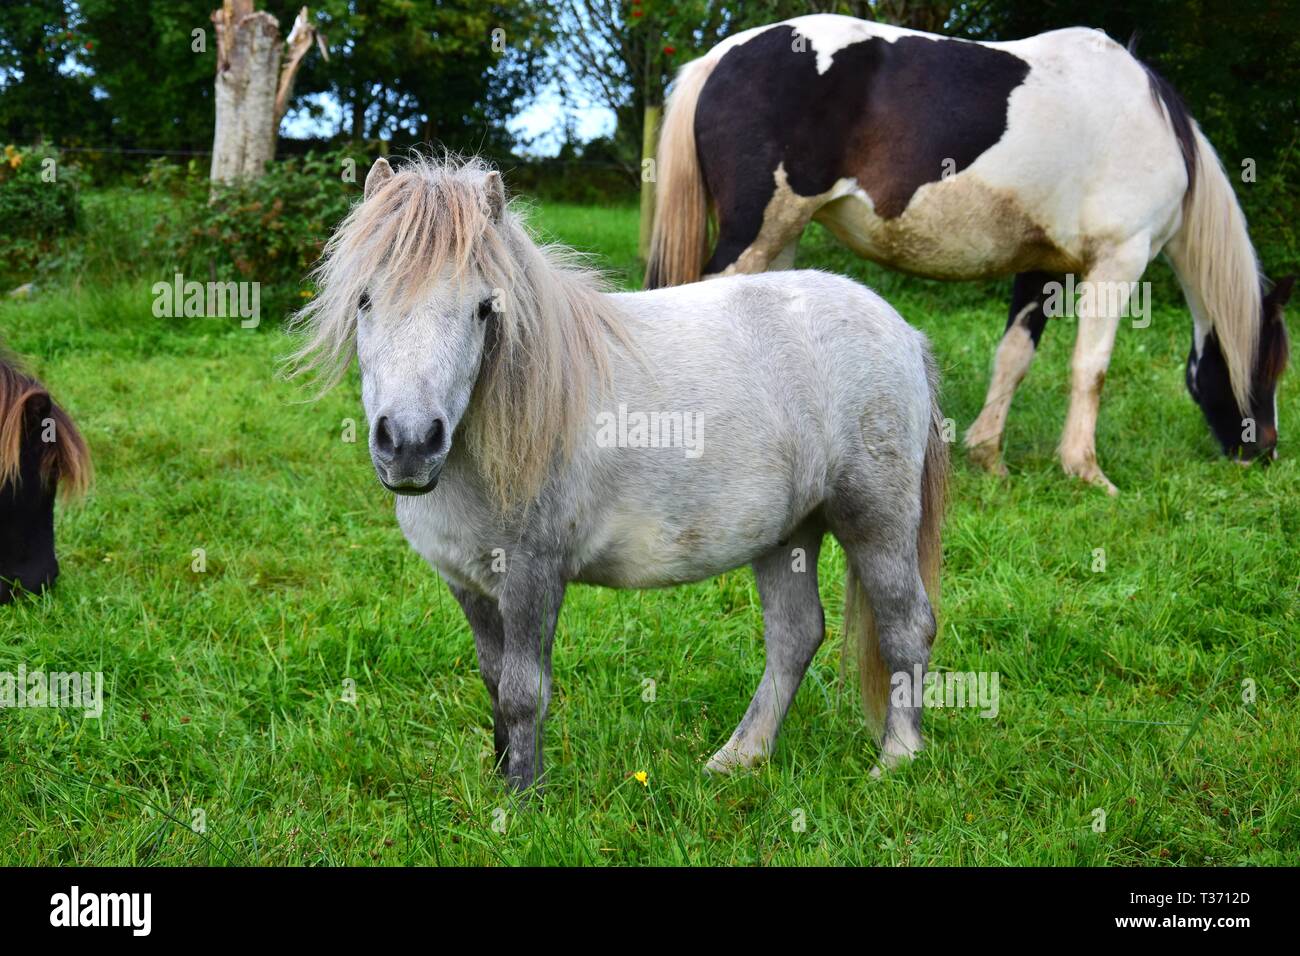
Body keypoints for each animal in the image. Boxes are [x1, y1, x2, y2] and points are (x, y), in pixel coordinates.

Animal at [289, 158, 951, 790]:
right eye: (364, 300)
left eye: (483, 308)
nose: (408, 444)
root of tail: (903, 330)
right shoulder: (467, 582)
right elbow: (493, 680)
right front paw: (500, 778)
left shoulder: (533, 575)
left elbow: (523, 692)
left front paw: (521, 803)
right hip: (787, 533)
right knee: (795, 636)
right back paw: (739, 758)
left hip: (876, 520)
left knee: (906, 627)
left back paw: (896, 759)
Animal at [647, 14, 1289, 494]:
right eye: (1272, 367)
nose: (1264, 454)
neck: (1149, 123)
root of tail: (719, 56)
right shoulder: (1118, 262)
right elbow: (1091, 368)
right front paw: (1086, 471)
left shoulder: (1042, 268)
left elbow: (1014, 358)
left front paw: (989, 457)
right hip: (755, 235)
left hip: (781, 241)